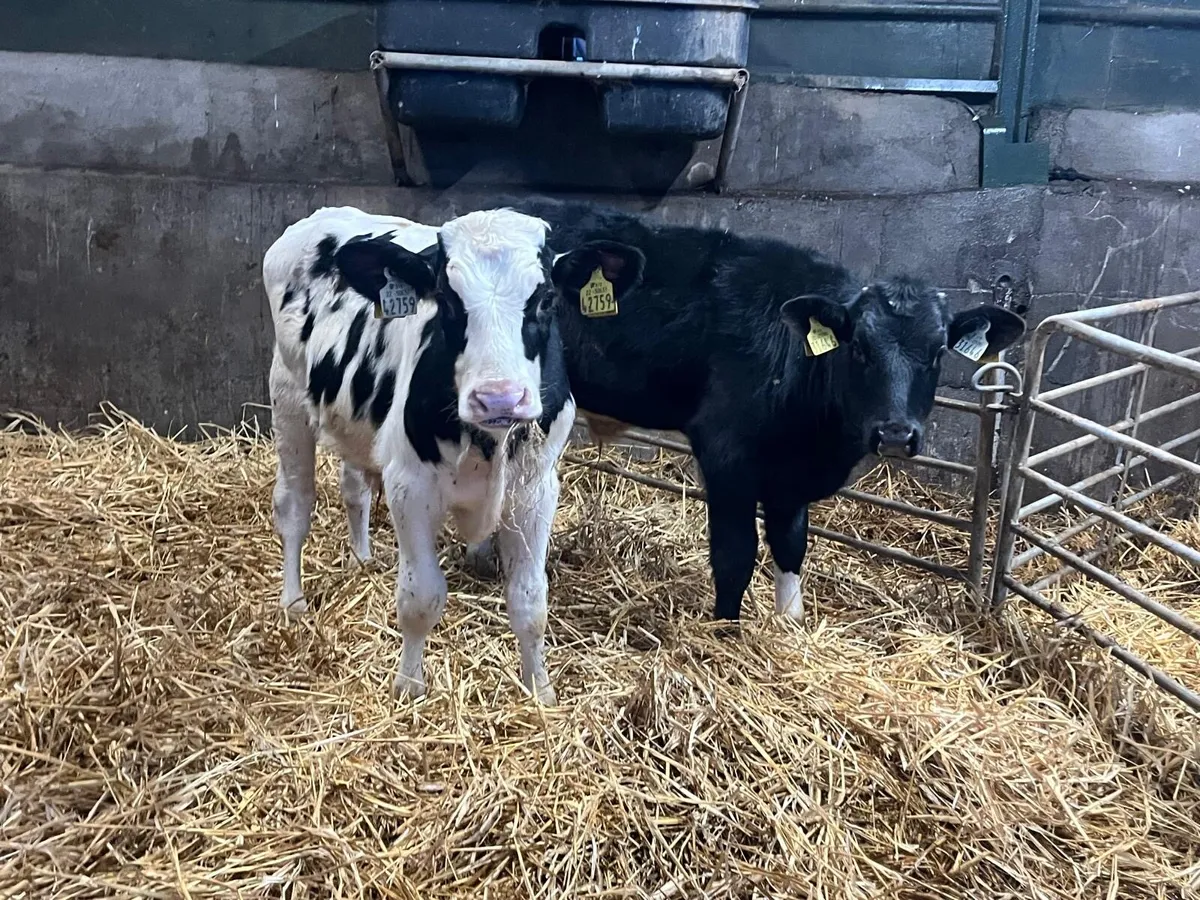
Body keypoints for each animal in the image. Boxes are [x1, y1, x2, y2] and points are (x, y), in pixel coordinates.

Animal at [262, 205, 638, 703]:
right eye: (447, 299)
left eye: (545, 299)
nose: (499, 399)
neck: (488, 440)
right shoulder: (409, 485)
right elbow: (420, 598)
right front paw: (408, 686)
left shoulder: (535, 489)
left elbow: (530, 600)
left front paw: (540, 692)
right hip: (286, 395)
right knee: (294, 507)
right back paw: (293, 602)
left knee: (354, 486)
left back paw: (362, 558)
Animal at [462, 198, 1027, 625]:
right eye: (860, 349)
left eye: (937, 353)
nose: (894, 434)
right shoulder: (726, 455)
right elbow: (735, 555)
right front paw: (726, 632)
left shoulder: (791, 479)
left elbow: (791, 545)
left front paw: (790, 623)